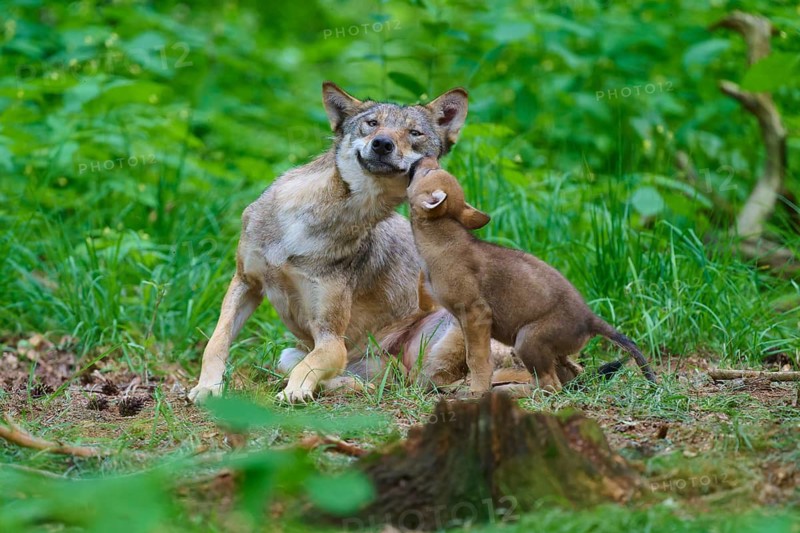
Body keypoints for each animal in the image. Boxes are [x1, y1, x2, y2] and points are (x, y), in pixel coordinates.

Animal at [188, 82, 472, 403]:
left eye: (415, 133)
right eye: (372, 124)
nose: (382, 144)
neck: (311, 222)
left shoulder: (331, 338)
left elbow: (310, 365)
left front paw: (295, 392)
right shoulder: (245, 282)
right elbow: (217, 341)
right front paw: (208, 387)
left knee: (413, 381)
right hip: (299, 353)